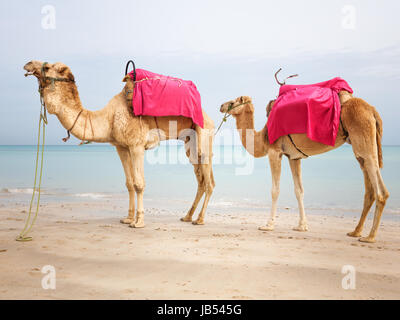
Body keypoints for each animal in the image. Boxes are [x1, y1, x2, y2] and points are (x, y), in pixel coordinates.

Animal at [24, 60, 216, 228]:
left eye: (47, 67)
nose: (28, 64)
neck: (108, 118)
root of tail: (209, 118)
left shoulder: (137, 145)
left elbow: (139, 184)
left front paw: (138, 222)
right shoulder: (121, 147)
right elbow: (129, 183)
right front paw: (128, 218)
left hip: (203, 136)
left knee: (209, 182)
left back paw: (200, 219)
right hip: (190, 144)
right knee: (200, 180)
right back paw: (187, 216)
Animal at [220, 92, 390, 242]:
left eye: (233, 102)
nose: (221, 106)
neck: (262, 137)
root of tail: (372, 110)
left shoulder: (274, 151)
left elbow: (275, 190)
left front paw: (268, 225)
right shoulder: (294, 157)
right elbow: (299, 191)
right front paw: (302, 226)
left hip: (363, 135)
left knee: (380, 187)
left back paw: (370, 237)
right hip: (359, 146)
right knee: (369, 187)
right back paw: (355, 232)